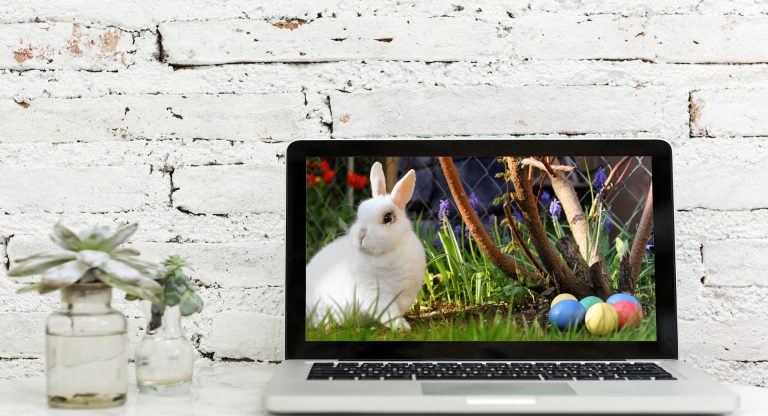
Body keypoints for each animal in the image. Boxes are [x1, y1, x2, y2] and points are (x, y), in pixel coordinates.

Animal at [306, 161, 426, 331]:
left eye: (387, 218)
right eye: (359, 215)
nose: (361, 235)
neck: (388, 252)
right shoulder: (375, 293)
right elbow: (389, 313)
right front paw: (401, 327)